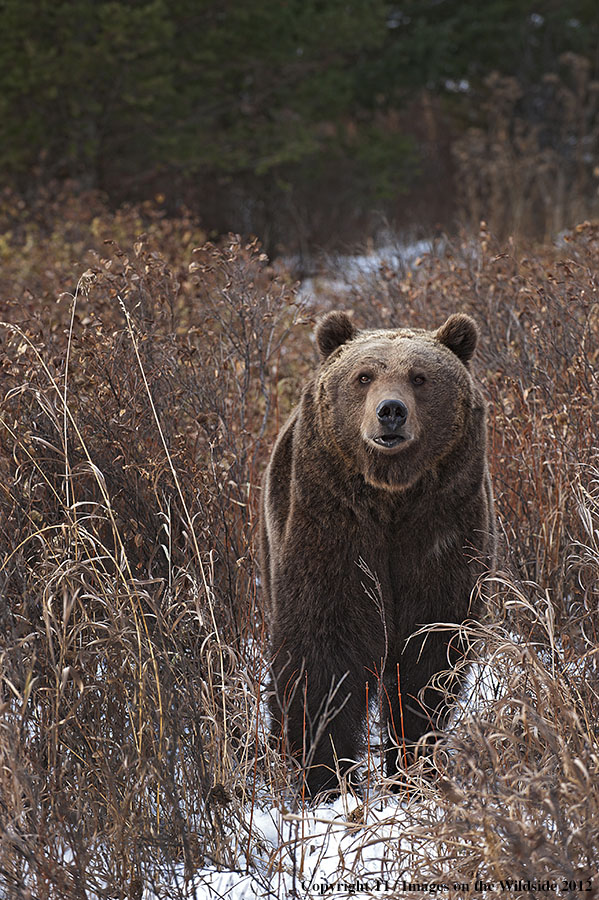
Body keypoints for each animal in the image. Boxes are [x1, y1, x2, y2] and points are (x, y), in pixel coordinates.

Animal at [258, 310, 496, 796]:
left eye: (420, 377)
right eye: (364, 375)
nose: (391, 411)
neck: (391, 496)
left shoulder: (442, 530)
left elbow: (429, 657)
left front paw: (413, 765)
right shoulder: (332, 527)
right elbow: (324, 650)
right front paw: (325, 777)